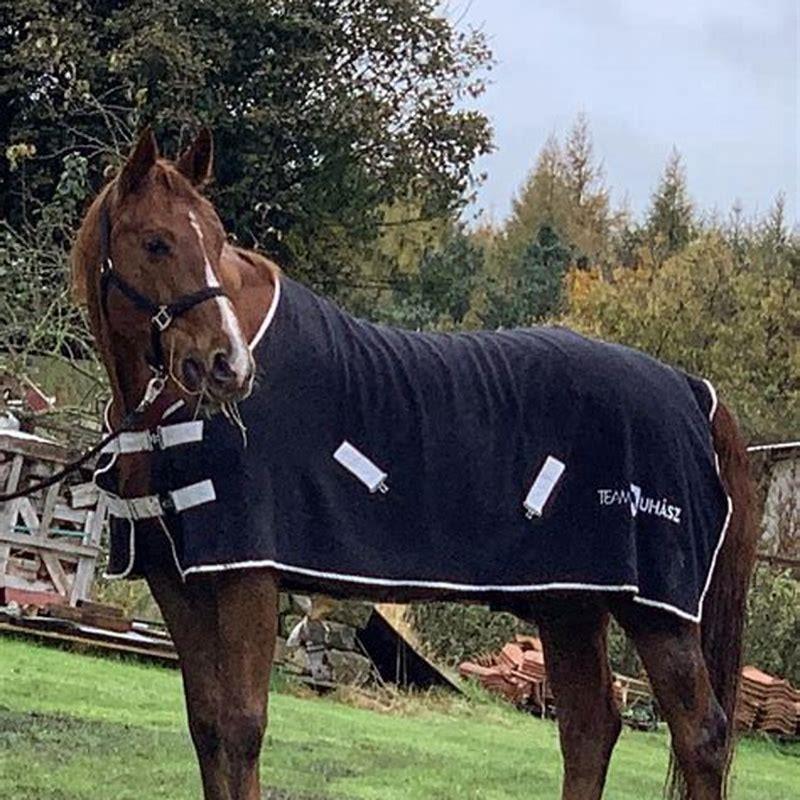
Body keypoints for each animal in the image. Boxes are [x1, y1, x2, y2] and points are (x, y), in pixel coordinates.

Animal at [70, 128, 757, 800]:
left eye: (216, 240)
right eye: (157, 242)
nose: (228, 366)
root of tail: (693, 391)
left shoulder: (247, 575)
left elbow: (241, 728)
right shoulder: (176, 581)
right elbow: (208, 726)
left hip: (657, 616)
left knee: (702, 735)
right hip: (571, 606)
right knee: (589, 728)